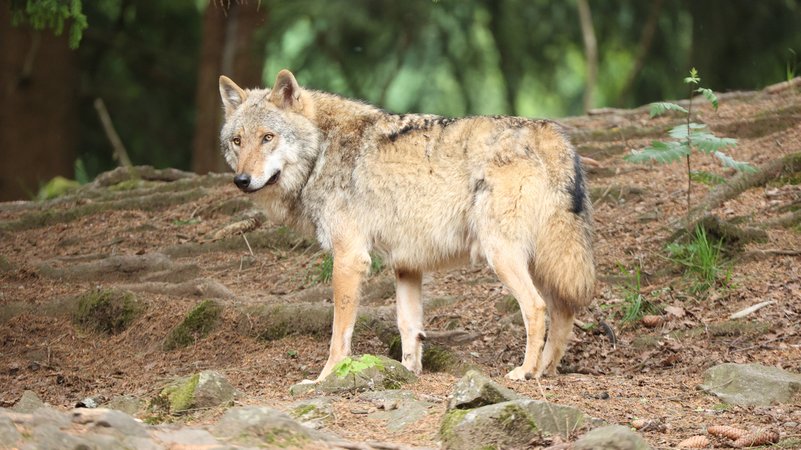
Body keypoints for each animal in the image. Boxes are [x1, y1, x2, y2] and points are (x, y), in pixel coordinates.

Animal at [218, 69, 595, 382]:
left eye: (268, 137)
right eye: (238, 141)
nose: (241, 180)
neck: (322, 149)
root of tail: (552, 136)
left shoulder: (350, 259)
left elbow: (339, 332)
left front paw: (325, 378)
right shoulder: (407, 264)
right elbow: (408, 326)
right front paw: (408, 373)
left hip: (503, 256)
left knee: (537, 308)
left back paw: (525, 372)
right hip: (543, 261)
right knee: (563, 311)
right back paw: (545, 369)